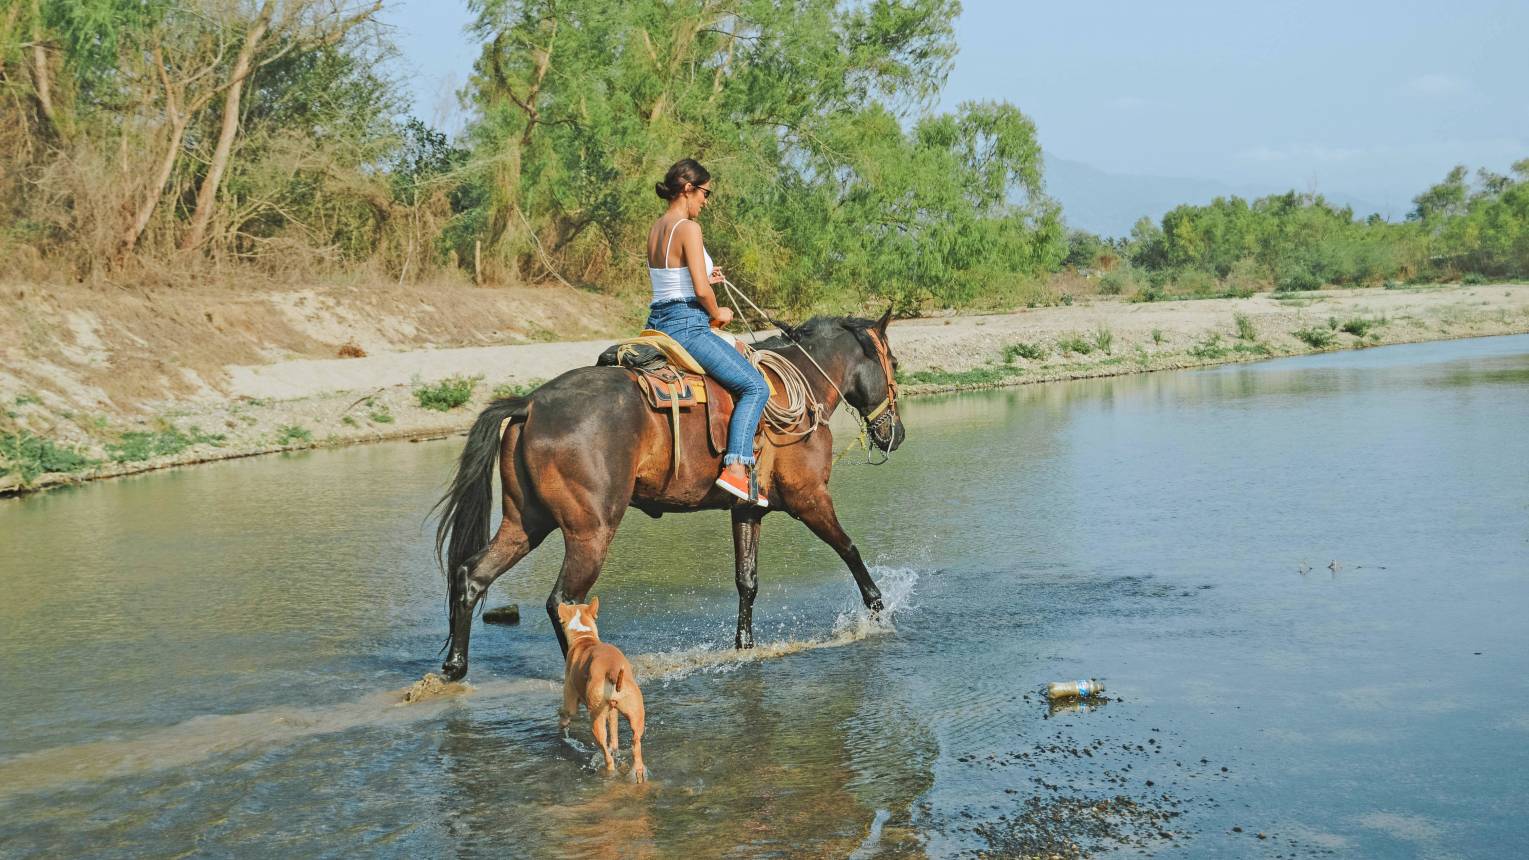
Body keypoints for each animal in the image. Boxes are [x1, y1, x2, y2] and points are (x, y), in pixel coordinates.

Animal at [434, 307, 905, 676]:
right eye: (895, 363)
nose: (895, 434)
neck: (805, 385)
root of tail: (530, 403)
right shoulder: (809, 498)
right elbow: (849, 550)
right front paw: (878, 611)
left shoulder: (748, 510)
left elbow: (747, 581)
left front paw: (745, 647)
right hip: (591, 532)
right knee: (563, 601)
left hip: (526, 523)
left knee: (473, 576)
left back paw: (456, 664)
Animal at [559, 596, 648, 777]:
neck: (584, 637)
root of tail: (612, 669)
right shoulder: (612, 712)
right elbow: (613, 731)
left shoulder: (570, 697)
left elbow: (566, 713)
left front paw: (561, 722)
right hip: (635, 715)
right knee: (634, 744)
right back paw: (638, 771)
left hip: (595, 722)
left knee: (608, 756)